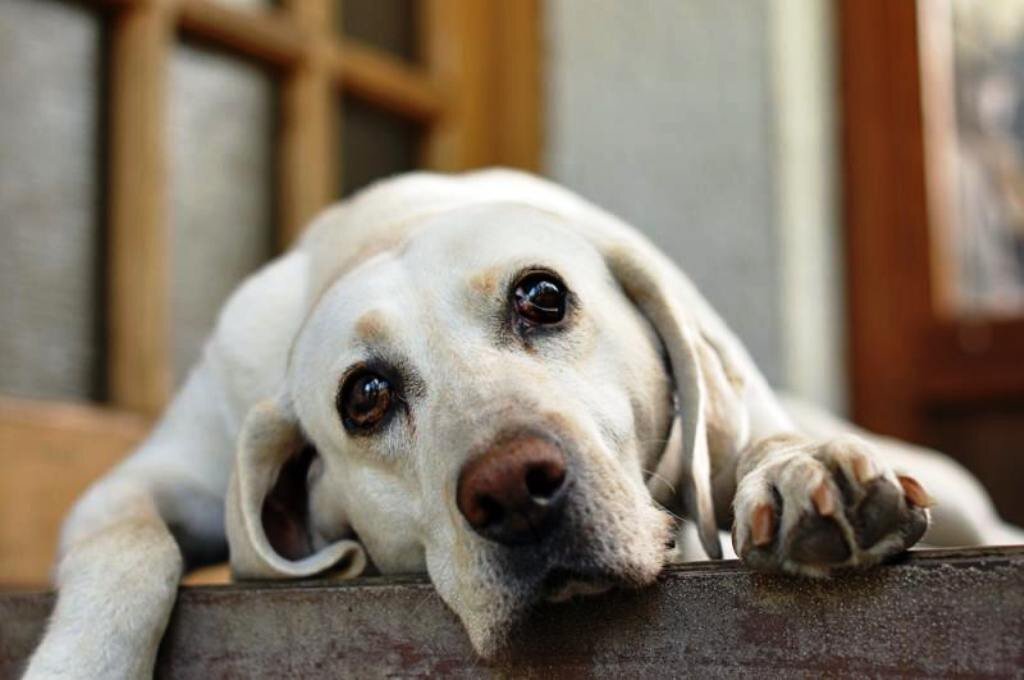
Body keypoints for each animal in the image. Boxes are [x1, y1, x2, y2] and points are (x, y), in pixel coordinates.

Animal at [25, 168, 1024, 675]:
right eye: (365, 396)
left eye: (543, 297)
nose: (512, 491)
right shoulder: (141, 478)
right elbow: (126, 550)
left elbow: (756, 444)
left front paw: (800, 469)